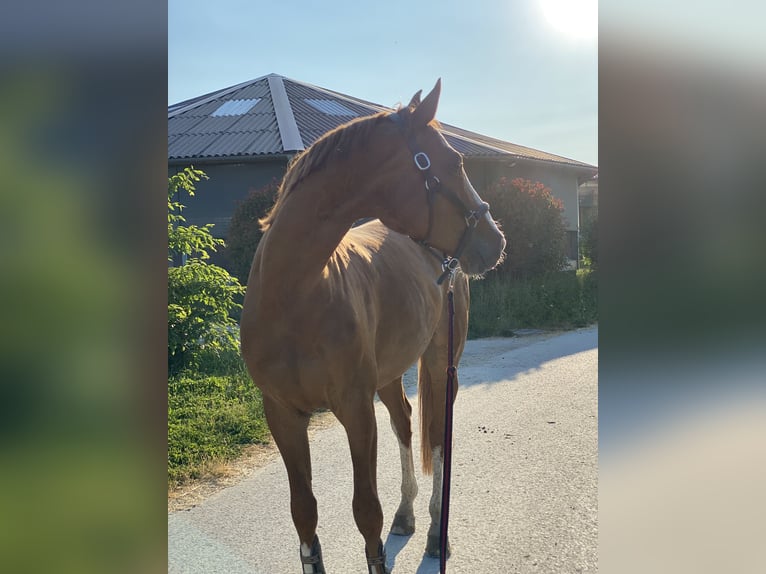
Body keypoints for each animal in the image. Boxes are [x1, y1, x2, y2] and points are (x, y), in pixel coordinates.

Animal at [240, 79, 504, 572]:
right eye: (454, 162)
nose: (495, 241)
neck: (293, 296)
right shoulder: (282, 415)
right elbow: (304, 513)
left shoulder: (355, 410)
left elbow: (366, 514)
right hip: (388, 373)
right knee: (405, 421)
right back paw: (408, 513)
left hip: (440, 364)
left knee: (438, 437)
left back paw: (436, 535)